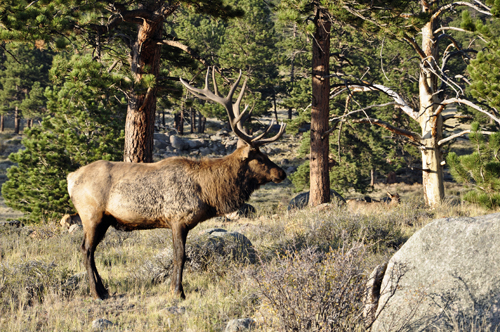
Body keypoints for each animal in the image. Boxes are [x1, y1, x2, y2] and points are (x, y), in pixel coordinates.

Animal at [67, 68, 286, 300]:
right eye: (259, 158)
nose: (281, 173)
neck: (208, 192)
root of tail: (70, 178)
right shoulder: (177, 218)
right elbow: (180, 256)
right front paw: (178, 291)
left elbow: (179, 255)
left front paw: (175, 288)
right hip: (91, 214)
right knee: (86, 250)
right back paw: (96, 293)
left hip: (105, 220)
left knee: (90, 250)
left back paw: (104, 289)